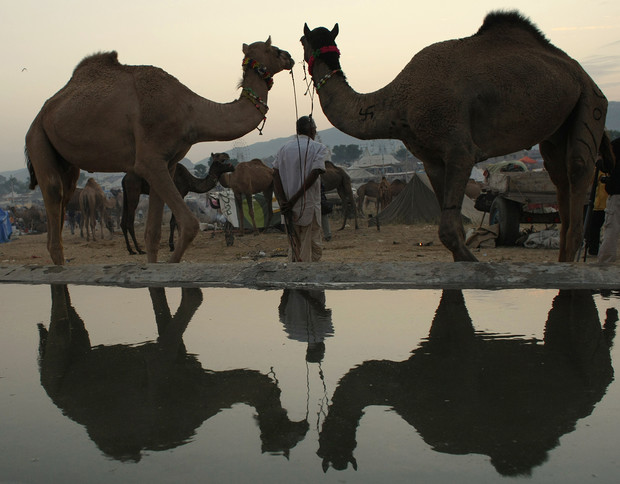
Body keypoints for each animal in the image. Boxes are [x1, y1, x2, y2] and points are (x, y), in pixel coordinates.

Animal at [24, 37, 296, 264]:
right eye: (272, 48)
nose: (290, 56)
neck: (189, 111)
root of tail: (44, 110)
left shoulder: (168, 163)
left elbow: (153, 234)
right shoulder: (149, 160)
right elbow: (189, 224)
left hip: (67, 163)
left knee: (65, 197)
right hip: (37, 137)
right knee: (53, 196)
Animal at [302, 11, 616, 260]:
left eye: (302, 41)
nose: (297, 57)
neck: (399, 102)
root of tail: (581, 72)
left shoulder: (459, 149)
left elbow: (450, 232)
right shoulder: (431, 159)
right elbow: (451, 231)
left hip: (591, 103)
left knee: (578, 169)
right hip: (556, 128)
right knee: (560, 179)